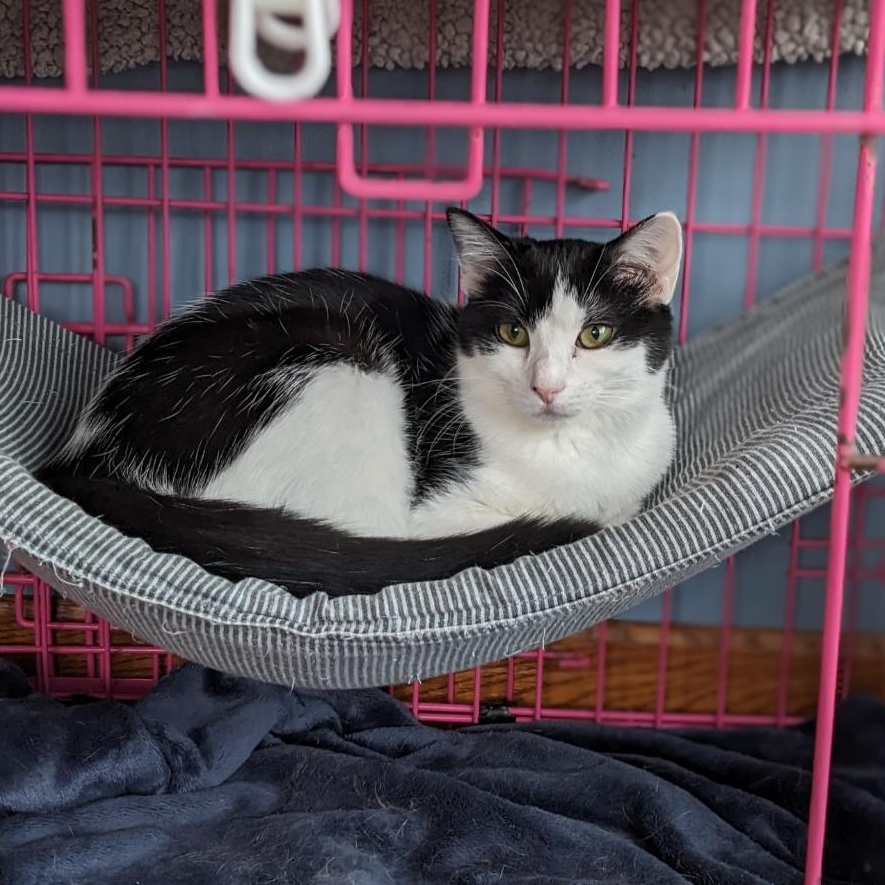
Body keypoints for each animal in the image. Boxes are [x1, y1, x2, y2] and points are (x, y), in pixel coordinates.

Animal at [40, 208, 683, 597]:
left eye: (594, 335)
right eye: (513, 334)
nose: (546, 386)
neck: (569, 451)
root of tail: (91, 454)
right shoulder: (440, 510)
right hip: (342, 361)